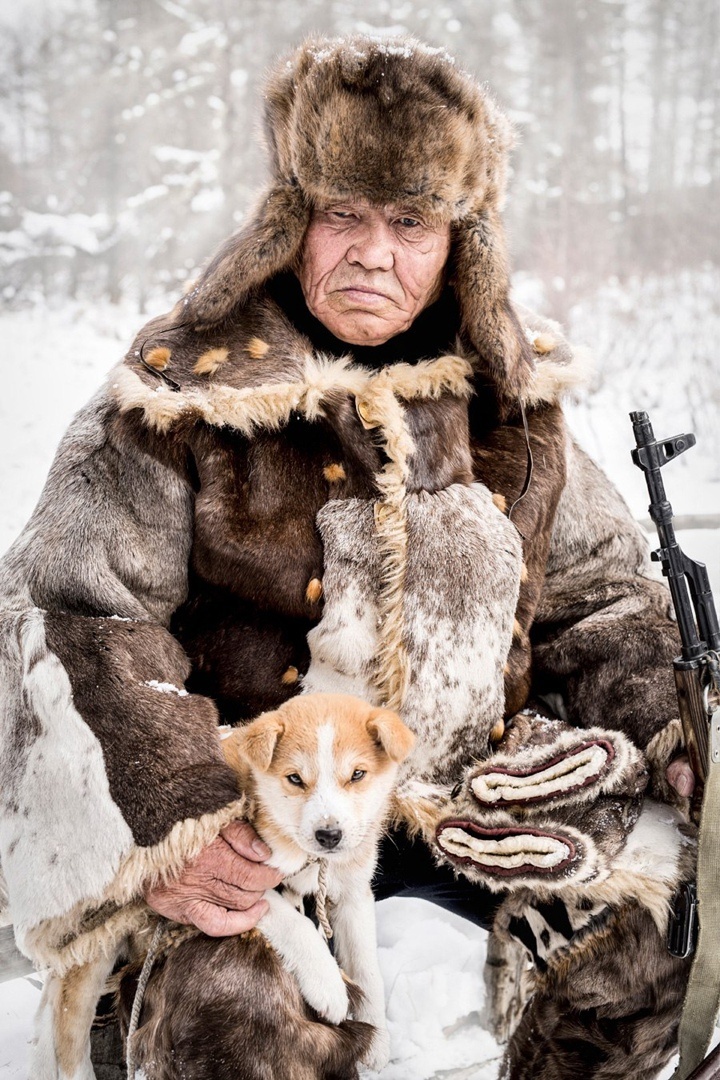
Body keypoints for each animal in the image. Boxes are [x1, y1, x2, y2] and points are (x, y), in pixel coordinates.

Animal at [120, 691, 414, 1080]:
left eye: (357, 774)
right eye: (295, 779)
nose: (329, 835)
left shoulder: (353, 892)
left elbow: (366, 968)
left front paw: (377, 1038)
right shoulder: (239, 884)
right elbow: (296, 926)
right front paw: (328, 985)